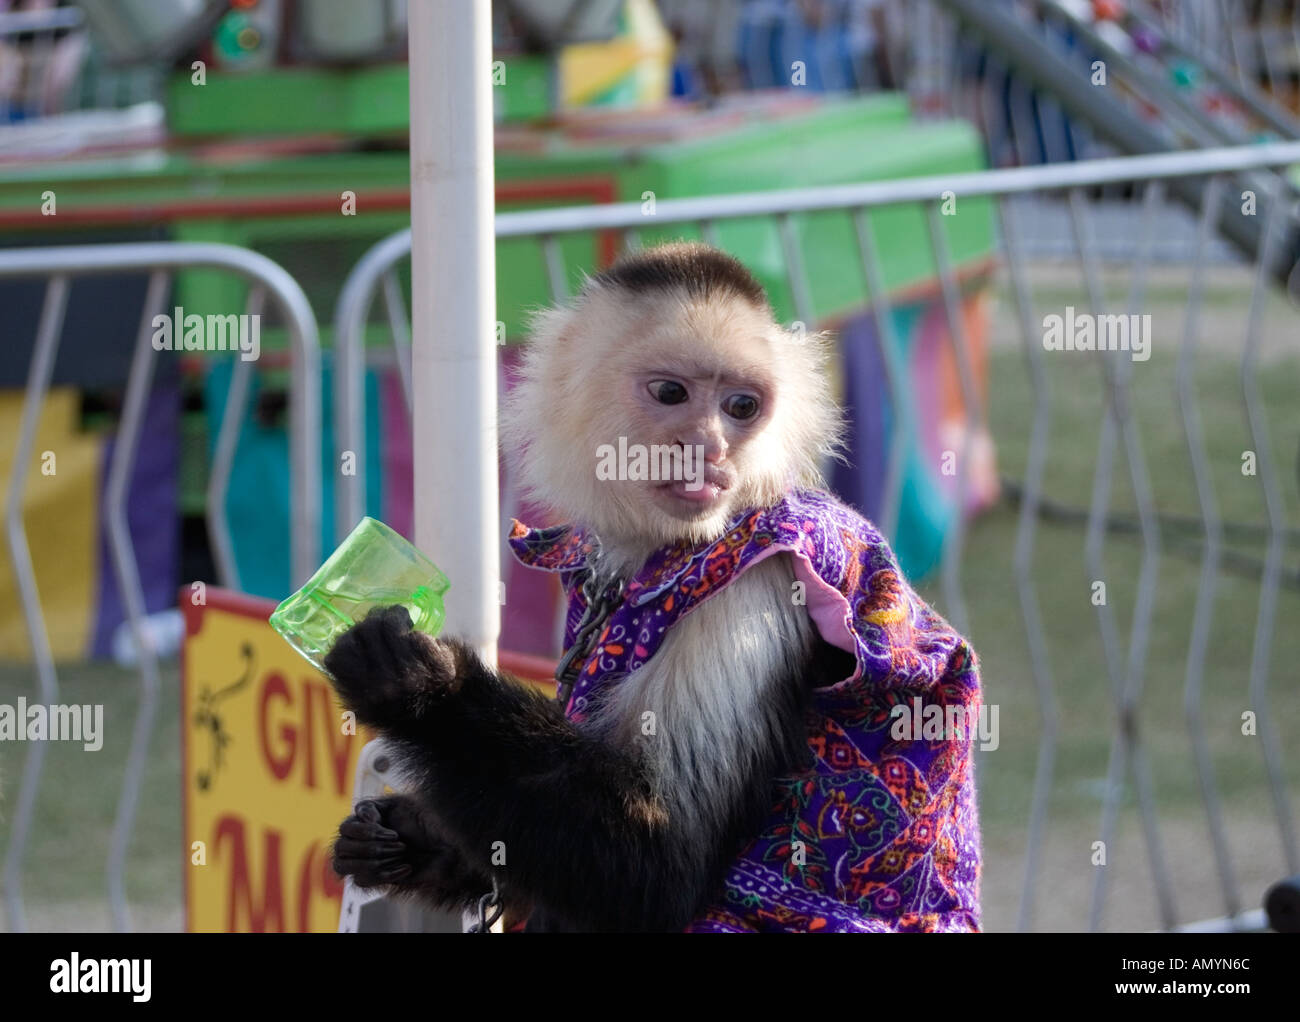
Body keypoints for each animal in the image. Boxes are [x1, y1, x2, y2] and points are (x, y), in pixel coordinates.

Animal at [327, 240, 982, 930]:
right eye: (671, 393)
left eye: (741, 407)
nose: (709, 447)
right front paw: (411, 842)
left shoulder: (758, 586)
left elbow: (662, 865)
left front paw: (417, 687)